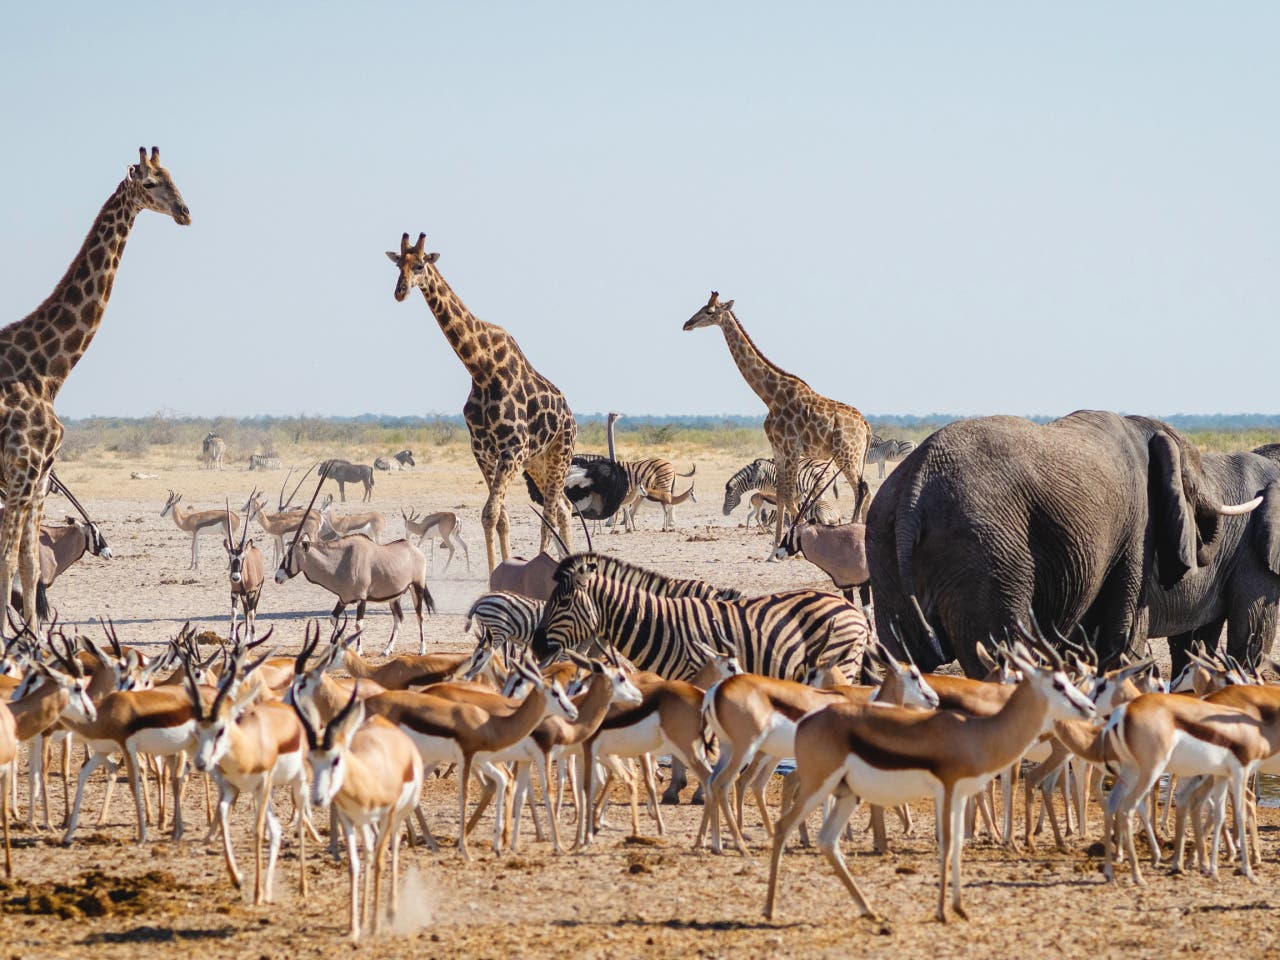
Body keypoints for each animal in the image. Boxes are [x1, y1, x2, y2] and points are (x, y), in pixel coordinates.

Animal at [0, 146, 189, 627]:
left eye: (174, 177)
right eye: (151, 183)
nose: (185, 212)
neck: (47, 371)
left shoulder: (39, 476)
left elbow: (29, 564)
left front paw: (31, 637)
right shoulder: (23, 470)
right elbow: (10, 562)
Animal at [384, 234, 576, 576]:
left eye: (419, 265)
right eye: (398, 265)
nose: (400, 291)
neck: (482, 370)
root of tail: (572, 418)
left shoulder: (512, 450)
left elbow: (491, 513)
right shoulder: (484, 453)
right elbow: (498, 517)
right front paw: (496, 572)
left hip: (560, 454)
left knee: (551, 514)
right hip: (539, 462)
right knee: (564, 509)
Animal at [686, 289, 875, 555]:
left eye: (709, 311)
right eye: (702, 307)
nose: (687, 324)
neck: (770, 396)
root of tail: (866, 427)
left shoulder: (791, 448)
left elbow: (789, 496)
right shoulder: (777, 448)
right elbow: (781, 494)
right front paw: (774, 550)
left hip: (846, 454)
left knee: (862, 488)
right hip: (855, 456)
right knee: (866, 489)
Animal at [865, 412, 1264, 675]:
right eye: (1194, 481)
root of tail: (916, 485)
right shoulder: (1138, 524)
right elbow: (1121, 634)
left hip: (883, 544)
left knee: (907, 657)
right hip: (984, 550)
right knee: (997, 653)